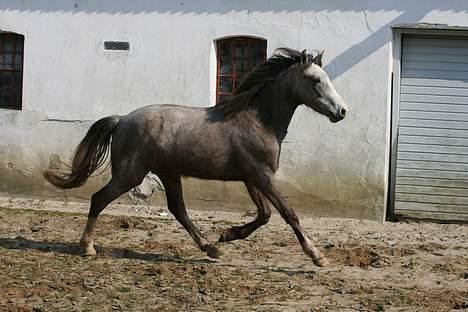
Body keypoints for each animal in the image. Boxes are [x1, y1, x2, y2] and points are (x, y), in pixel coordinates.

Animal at [44, 47, 348, 266]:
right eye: (316, 80)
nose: (342, 111)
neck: (258, 120)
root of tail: (121, 120)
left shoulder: (251, 177)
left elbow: (264, 215)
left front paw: (227, 235)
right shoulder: (260, 175)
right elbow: (287, 212)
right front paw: (318, 256)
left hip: (168, 173)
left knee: (178, 209)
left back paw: (211, 248)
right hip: (131, 174)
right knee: (99, 199)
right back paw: (87, 247)